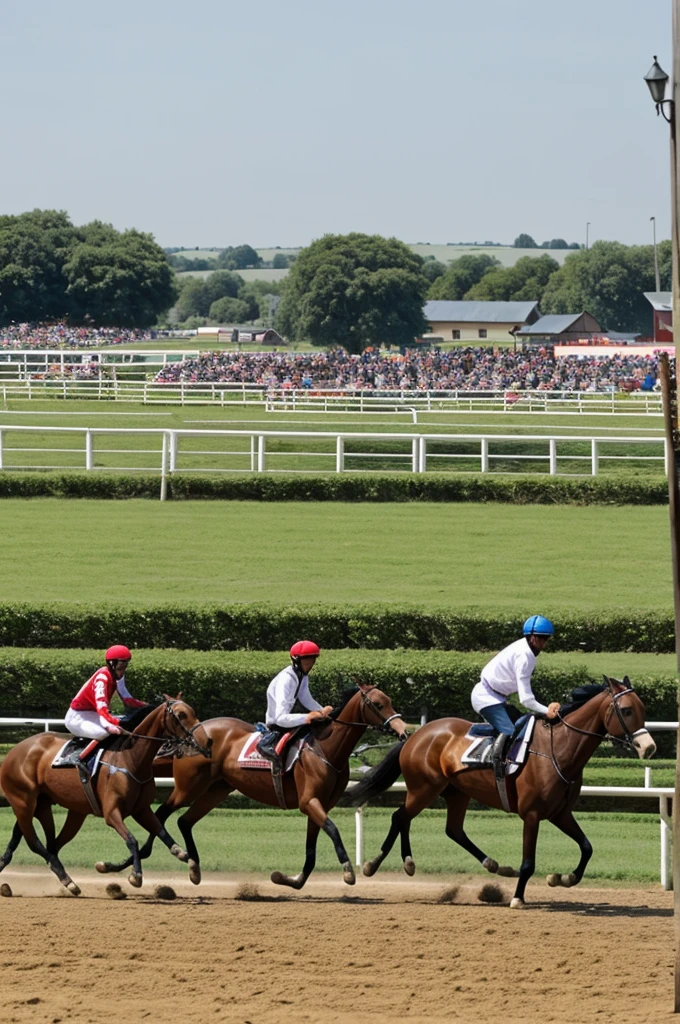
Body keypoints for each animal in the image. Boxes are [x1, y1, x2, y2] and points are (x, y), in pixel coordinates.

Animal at [0, 696, 210, 897]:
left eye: (192, 712)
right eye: (181, 715)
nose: (207, 741)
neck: (131, 759)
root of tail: (13, 752)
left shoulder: (141, 810)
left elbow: (161, 831)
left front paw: (189, 862)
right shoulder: (112, 813)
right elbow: (132, 840)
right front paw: (136, 875)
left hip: (46, 805)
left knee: (47, 843)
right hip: (23, 801)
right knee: (35, 842)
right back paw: (68, 881)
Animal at [97, 684, 405, 892]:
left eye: (389, 700)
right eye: (378, 704)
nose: (403, 730)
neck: (327, 749)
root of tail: (193, 736)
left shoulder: (317, 804)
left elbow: (312, 848)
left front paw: (290, 879)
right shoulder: (309, 802)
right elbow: (333, 830)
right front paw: (348, 871)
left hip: (217, 789)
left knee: (184, 821)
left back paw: (192, 867)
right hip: (188, 787)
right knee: (161, 814)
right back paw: (133, 863)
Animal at [348, 679, 655, 905]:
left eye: (642, 708)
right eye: (627, 710)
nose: (649, 747)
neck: (558, 749)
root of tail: (416, 734)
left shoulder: (560, 813)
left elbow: (587, 847)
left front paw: (562, 878)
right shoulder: (532, 814)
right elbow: (529, 862)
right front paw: (518, 898)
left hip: (456, 792)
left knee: (451, 829)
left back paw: (492, 865)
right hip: (424, 787)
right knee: (400, 816)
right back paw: (376, 864)